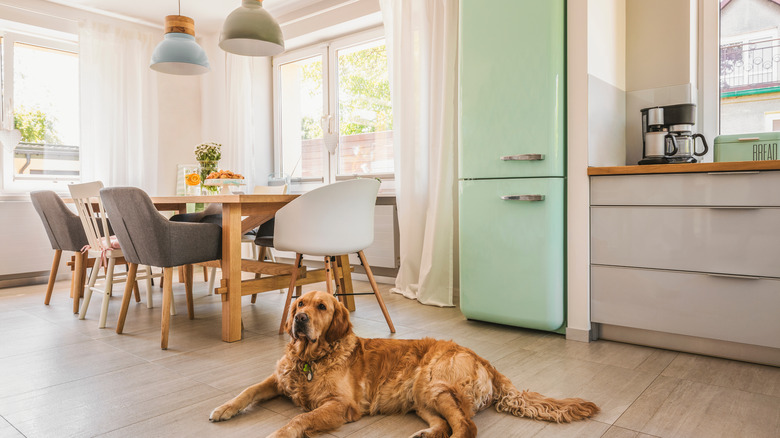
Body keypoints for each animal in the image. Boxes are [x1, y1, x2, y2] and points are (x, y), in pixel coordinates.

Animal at [209, 290, 596, 438]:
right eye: (300, 302)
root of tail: (484, 359)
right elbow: (247, 391)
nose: (300, 319)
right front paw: (223, 409)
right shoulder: (278, 380)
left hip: (433, 384)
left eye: (322, 307)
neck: (311, 359)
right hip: (421, 398)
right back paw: (424, 435)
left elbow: (299, 418)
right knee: (444, 425)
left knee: (466, 426)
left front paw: (279, 432)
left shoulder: (341, 406)